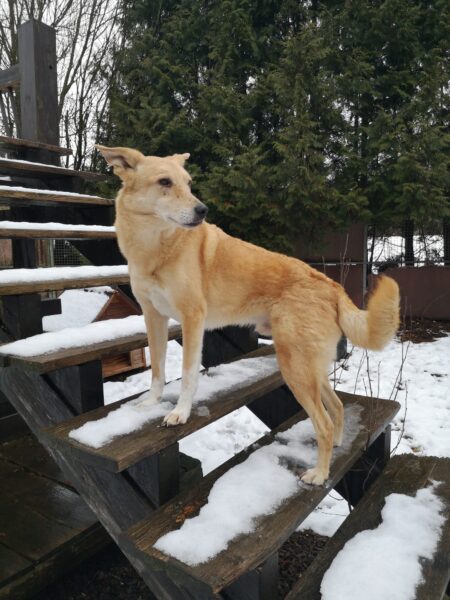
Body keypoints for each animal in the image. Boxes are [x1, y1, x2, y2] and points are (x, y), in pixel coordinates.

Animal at [97, 145, 400, 485]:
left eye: (188, 183)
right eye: (164, 182)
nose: (202, 211)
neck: (155, 243)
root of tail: (332, 285)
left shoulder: (192, 320)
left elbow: (188, 375)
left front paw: (180, 413)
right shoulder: (153, 317)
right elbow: (158, 371)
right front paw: (150, 403)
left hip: (296, 368)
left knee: (323, 422)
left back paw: (320, 473)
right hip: (311, 368)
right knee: (336, 408)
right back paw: (335, 447)